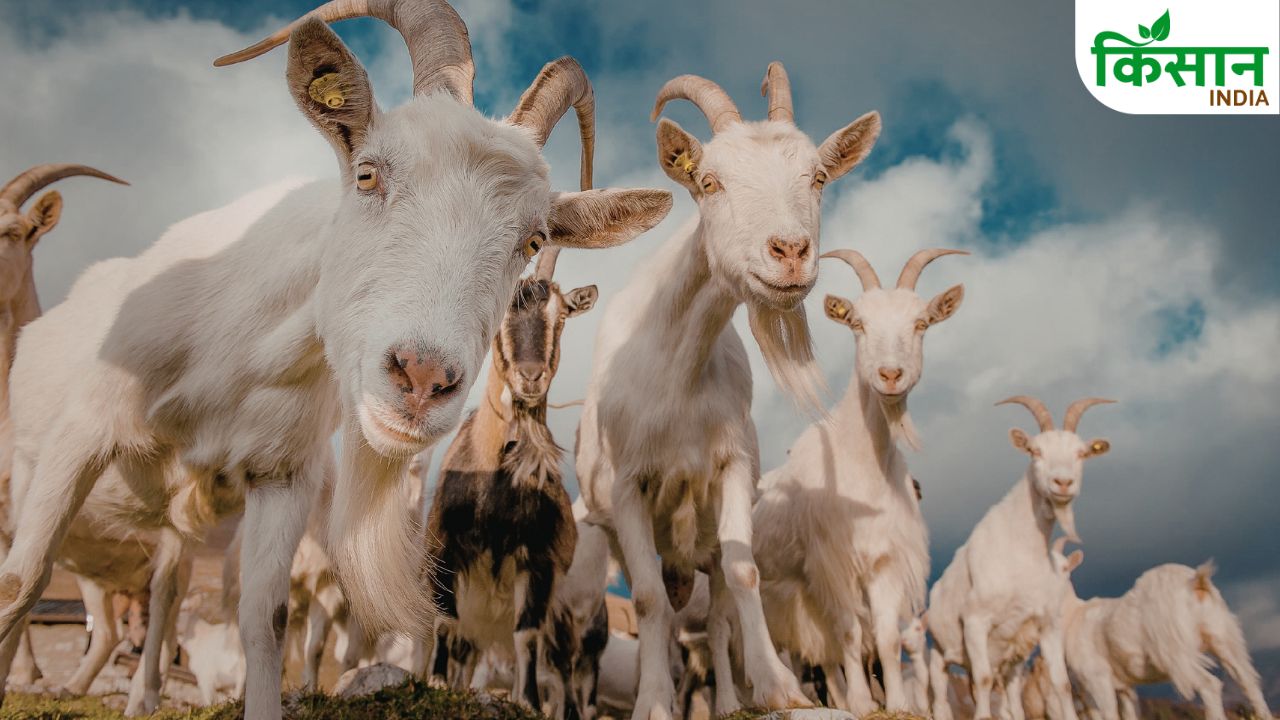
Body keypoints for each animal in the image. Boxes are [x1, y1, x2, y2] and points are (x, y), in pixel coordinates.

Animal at [428, 246, 598, 718]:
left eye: (561, 314)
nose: (530, 376)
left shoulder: (538, 562)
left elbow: (527, 636)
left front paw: (528, 701)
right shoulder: (445, 547)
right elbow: (444, 622)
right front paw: (435, 682)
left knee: (563, 671)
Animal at [576, 62, 880, 720]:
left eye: (819, 176)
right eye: (709, 182)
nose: (790, 252)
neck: (677, 373)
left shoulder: (731, 465)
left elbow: (745, 576)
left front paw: (777, 686)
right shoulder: (626, 485)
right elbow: (645, 600)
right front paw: (653, 702)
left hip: (707, 544)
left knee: (715, 618)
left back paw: (726, 700)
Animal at [752, 247, 965, 714]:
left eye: (921, 323)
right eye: (858, 324)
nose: (890, 375)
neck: (863, 468)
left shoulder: (885, 561)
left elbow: (885, 639)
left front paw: (899, 704)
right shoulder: (833, 563)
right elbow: (850, 633)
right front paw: (865, 705)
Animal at [926, 396, 1114, 720]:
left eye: (1081, 453)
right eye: (1035, 451)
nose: (1062, 483)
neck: (1020, 554)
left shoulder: (1047, 625)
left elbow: (1062, 683)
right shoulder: (974, 621)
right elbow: (983, 680)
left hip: (1008, 659)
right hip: (940, 651)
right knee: (943, 697)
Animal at [1057, 550, 1272, 720]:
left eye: (1065, 567)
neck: (1073, 615)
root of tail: (1196, 582)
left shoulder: (1096, 679)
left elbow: (1108, 714)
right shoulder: (1125, 687)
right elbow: (1129, 714)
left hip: (1176, 652)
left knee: (1210, 684)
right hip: (1222, 636)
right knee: (1247, 680)